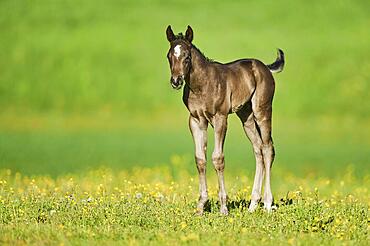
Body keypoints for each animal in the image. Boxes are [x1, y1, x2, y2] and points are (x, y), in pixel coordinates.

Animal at [166, 24, 284, 214]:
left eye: (187, 57)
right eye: (169, 56)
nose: (176, 81)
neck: (201, 85)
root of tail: (265, 67)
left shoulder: (220, 118)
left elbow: (218, 158)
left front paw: (223, 207)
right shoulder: (196, 120)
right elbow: (200, 159)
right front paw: (201, 206)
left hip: (262, 110)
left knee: (268, 148)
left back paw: (267, 203)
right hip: (246, 116)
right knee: (257, 149)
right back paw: (252, 205)